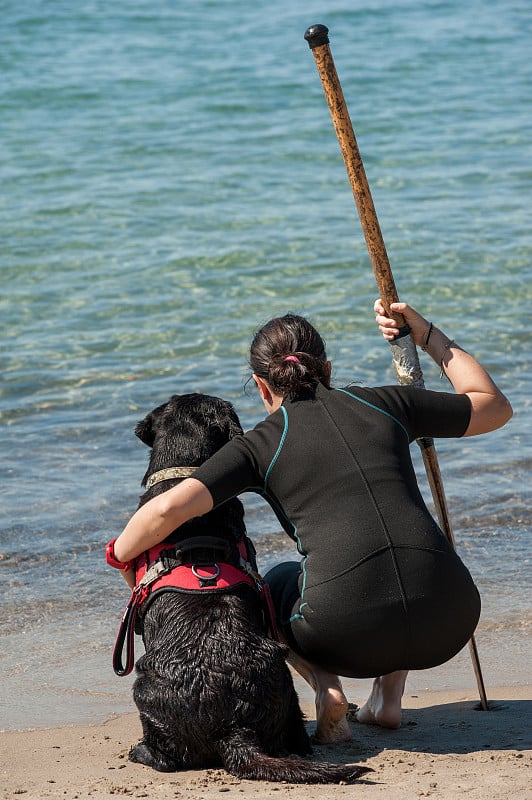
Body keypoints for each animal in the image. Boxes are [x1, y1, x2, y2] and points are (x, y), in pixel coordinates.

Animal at [127, 392, 372, 780]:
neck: (186, 475)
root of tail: (233, 729)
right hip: (283, 679)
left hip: (144, 690)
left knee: (167, 758)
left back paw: (141, 752)